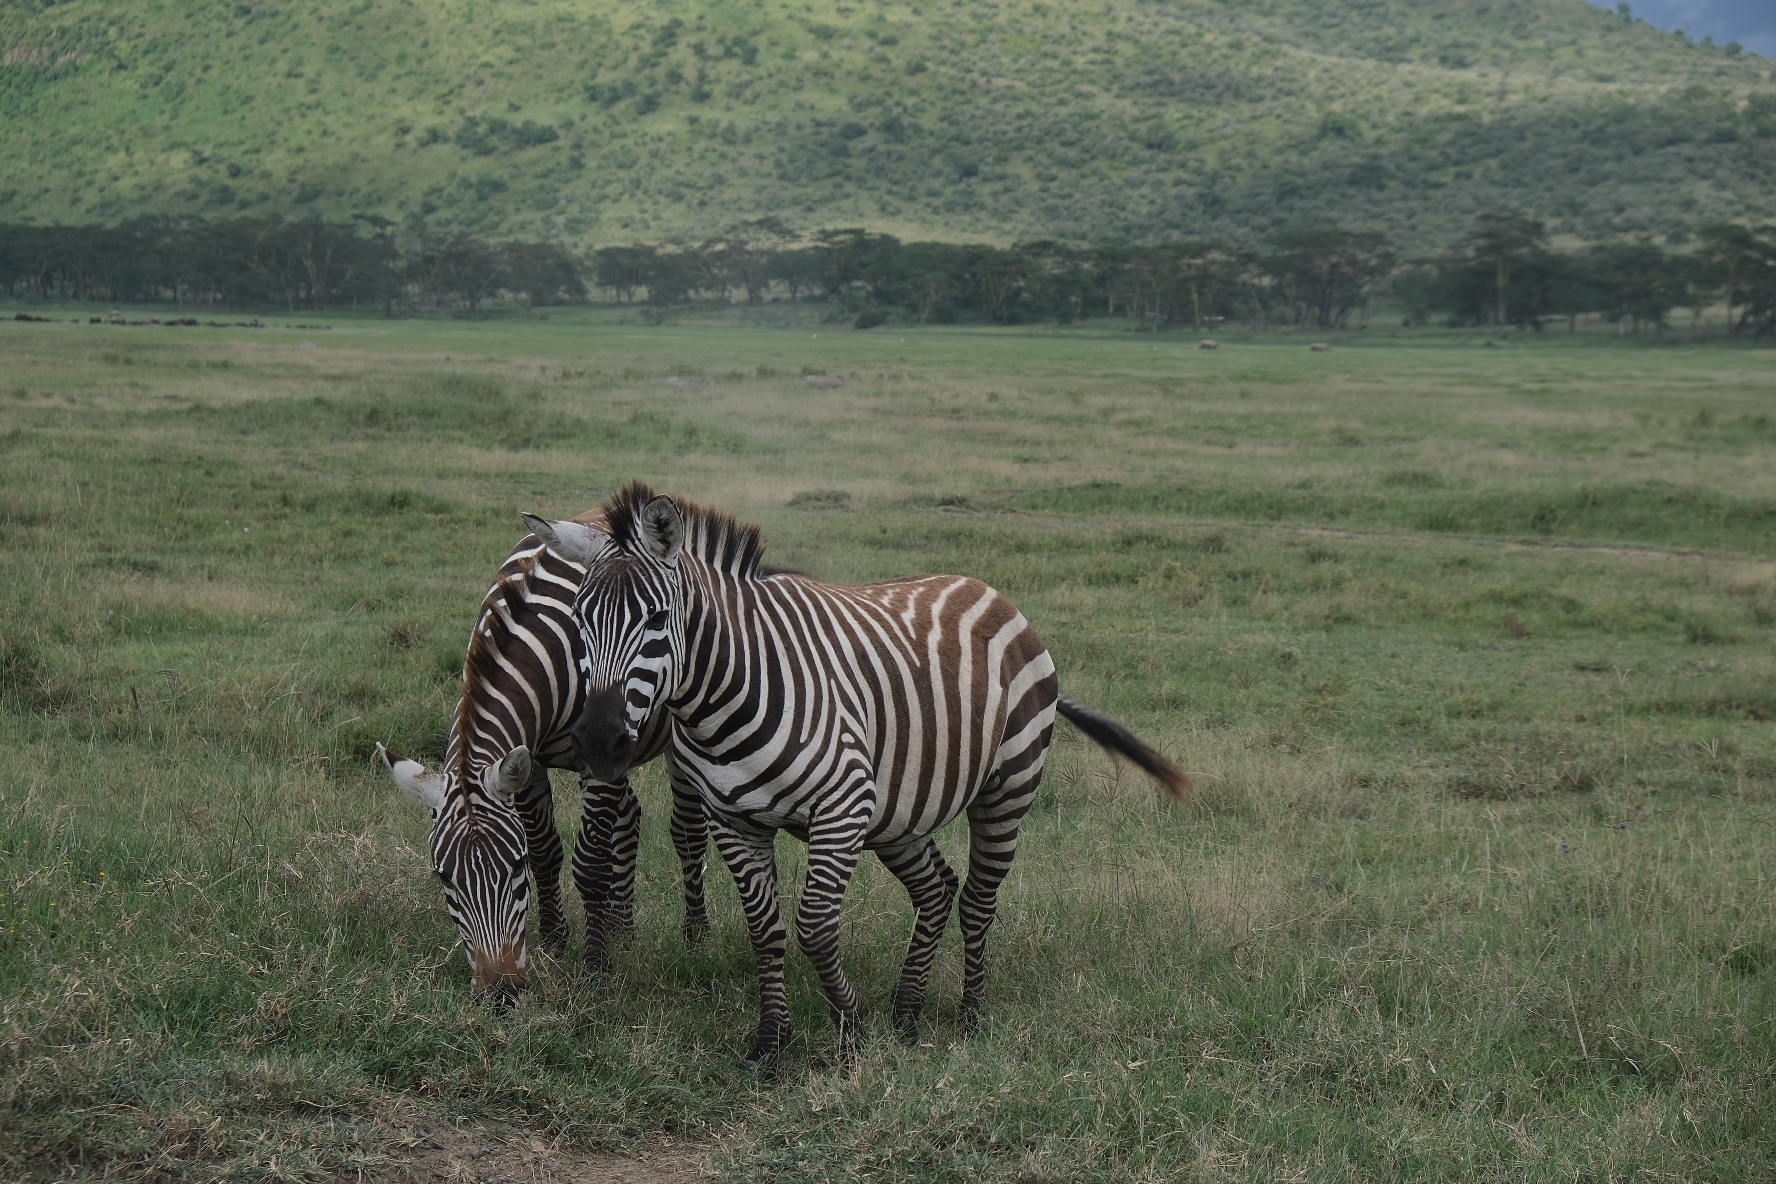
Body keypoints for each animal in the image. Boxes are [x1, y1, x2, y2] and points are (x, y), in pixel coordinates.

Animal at [376, 511, 706, 1001]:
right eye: (443, 877)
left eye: (513, 870)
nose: (500, 992)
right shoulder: (526, 759)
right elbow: (546, 848)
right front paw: (555, 940)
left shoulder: (594, 756)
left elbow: (589, 861)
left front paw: (596, 964)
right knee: (629, 817)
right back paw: (623, 929)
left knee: (687, 831)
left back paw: (695, 934)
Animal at [525, 482, 1193, 1065]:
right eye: (578, 619)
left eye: (658, 619)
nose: (599, 741)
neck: (730, 688)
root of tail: (987, 589)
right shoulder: (734, 820)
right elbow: (765, 930)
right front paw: (772, 1044)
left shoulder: (840, 809)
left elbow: (816, 927)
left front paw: (852, 1030)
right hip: (899, 811)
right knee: (937, 890)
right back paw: (907, 1013)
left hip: (1007, 787)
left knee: (978, 900)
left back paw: (969, 1017)